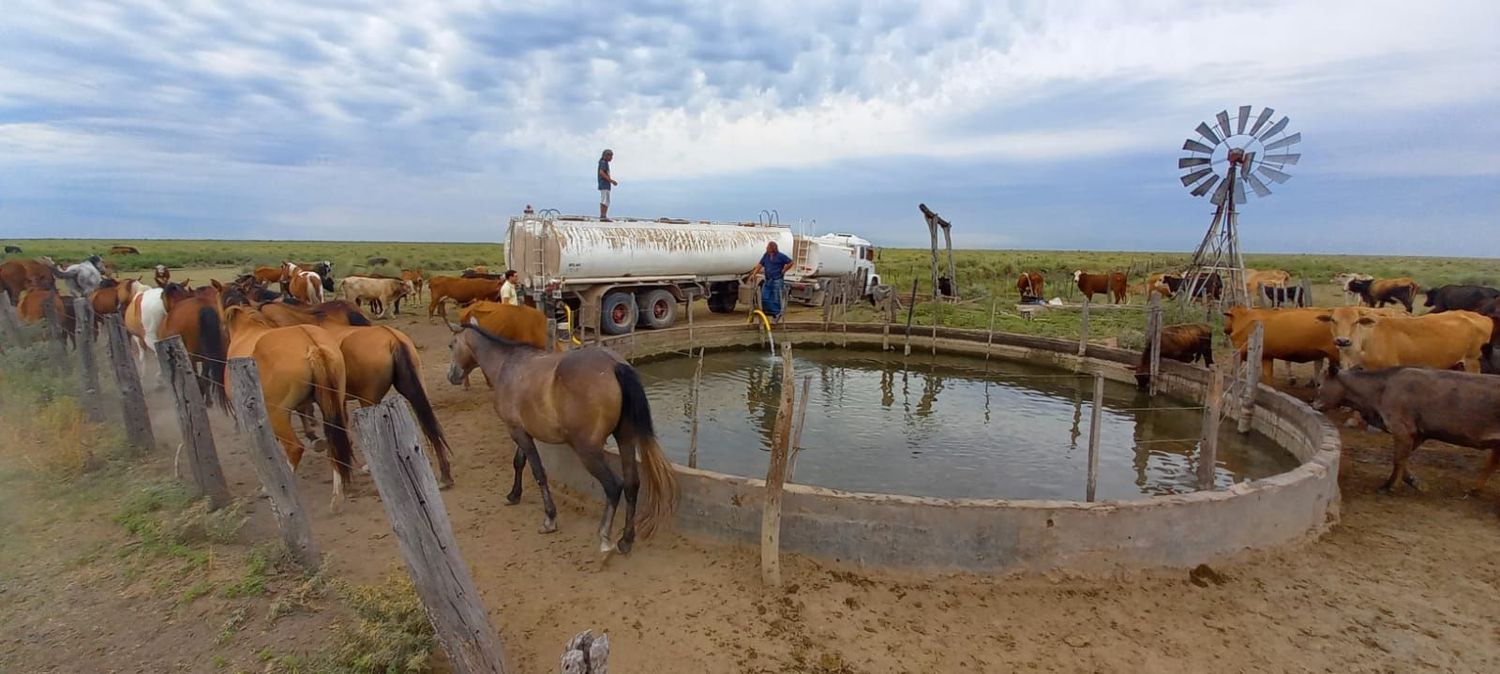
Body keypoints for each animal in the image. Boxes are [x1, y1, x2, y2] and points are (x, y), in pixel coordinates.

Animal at [223, 303, 355, 504]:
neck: (246, 331)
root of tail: (312, 346)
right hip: (335, 404)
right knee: (336, 442)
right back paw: (337, 496)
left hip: (277, 415)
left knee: (294, 448)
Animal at [441, 321, 678, 552]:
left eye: (451, 345)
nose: (452, 376)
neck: (507, 365)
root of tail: (614, 365)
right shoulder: (523, 431)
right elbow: (518, 462)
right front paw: (514, 495)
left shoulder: (516, 431)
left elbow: (538, 472)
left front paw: (549, 518)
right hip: (625, 440)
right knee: (631, 484)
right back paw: (626, 540)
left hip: (588, 451)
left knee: (613, 486)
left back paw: (604, 538)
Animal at [1314, 364, 1500, 495]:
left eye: (1320, 385)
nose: (1313, 404)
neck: (1382, 388)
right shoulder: (1418, 434)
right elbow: (1404, 460)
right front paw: (1415, 482)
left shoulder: (1402, 430)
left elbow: (1398, 459)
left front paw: (1388, 486)